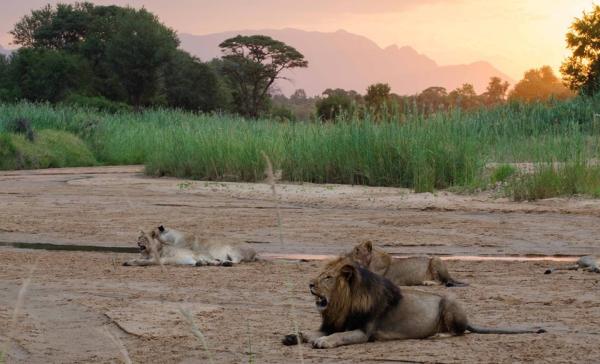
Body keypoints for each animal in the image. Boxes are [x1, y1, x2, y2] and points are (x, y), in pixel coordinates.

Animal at [284, 256, 548, 346]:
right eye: (320, 274)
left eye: (328, 277)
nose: (309, 284)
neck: (343, 305)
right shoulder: (332, 322)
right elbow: (312, 331)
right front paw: (294, 336)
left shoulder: (363, 332)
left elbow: (338, 336)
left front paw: (323, 342)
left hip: (450, 301)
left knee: (460, 332)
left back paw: (438, 335)